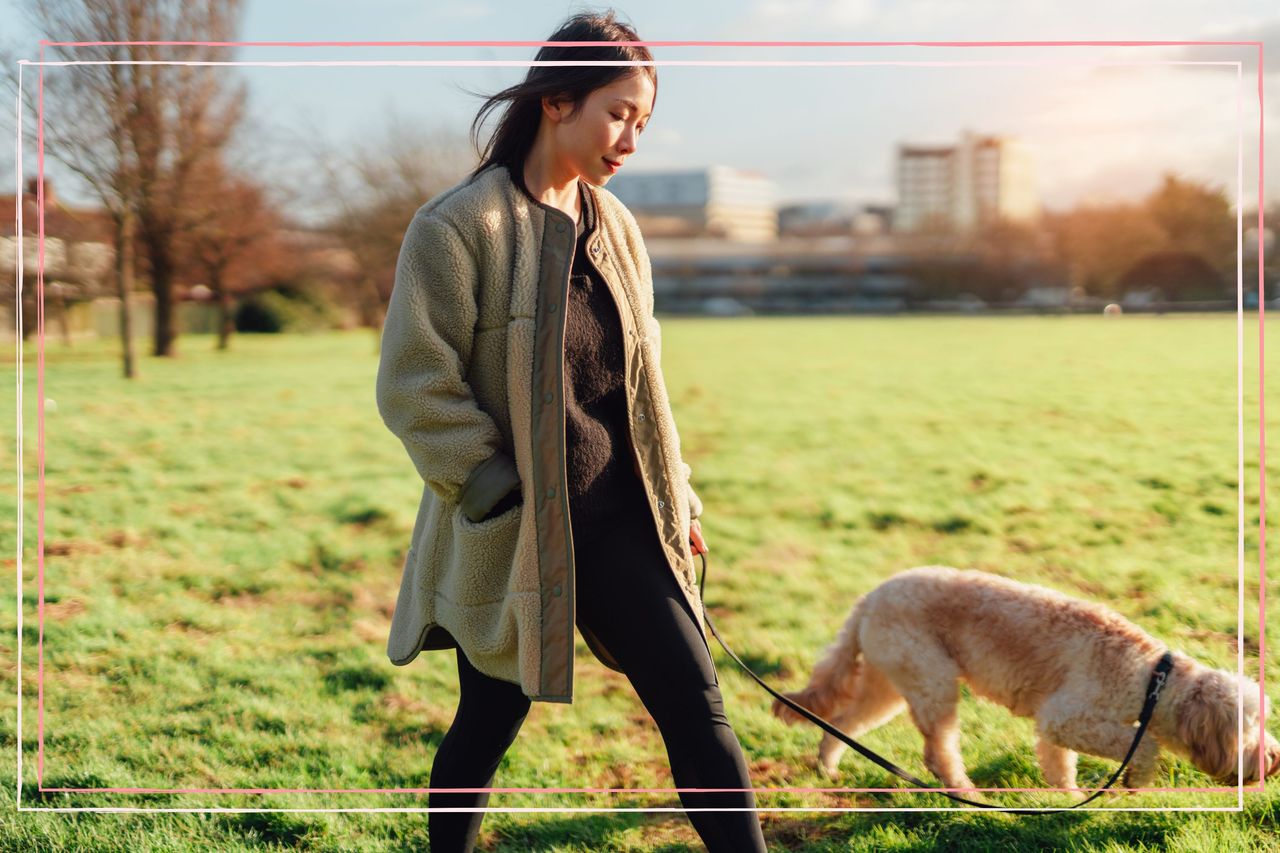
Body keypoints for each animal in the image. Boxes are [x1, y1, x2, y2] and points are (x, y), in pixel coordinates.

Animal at [768, 560, 1280, 794]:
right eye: (1250, 730)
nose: (1274, 759)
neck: (1153, 679)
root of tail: (869, 598)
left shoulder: (1056, 728)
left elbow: (1059, 764)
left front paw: (1068, 796)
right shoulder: (1067, 717)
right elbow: (1145, 744)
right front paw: (1135, 781)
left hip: (890, 684)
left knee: (844, 724)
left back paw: (829, 768)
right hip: (932, 685)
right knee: (939, 751)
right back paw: (964, 791)